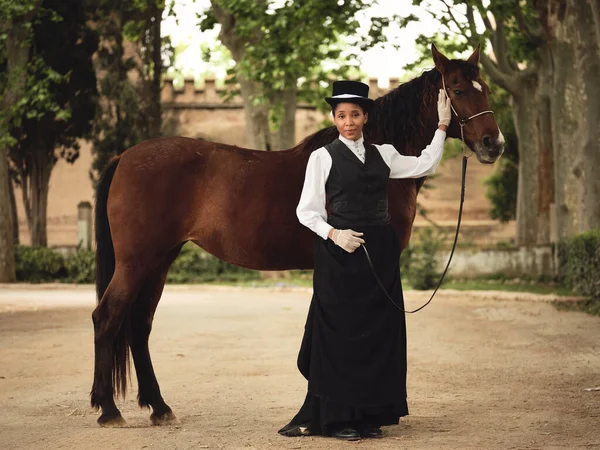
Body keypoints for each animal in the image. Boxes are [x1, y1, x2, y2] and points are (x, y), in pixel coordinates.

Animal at [91, 44, 504, 428]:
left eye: (485, 89)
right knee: (107, 317)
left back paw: (159, 408)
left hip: (160, 260)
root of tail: (125, 157)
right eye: (458, 90)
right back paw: (109, 410)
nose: (494, 144)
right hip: (137, 262)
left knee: (139, 324)